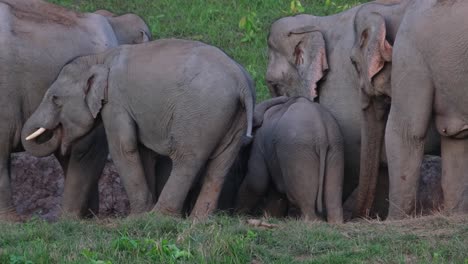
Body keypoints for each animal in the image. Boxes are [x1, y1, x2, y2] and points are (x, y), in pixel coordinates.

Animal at [21, 38, 256, 218]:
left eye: (55, 98)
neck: (99, 58)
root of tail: (241, 81)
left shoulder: (115, 100)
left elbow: (123, 147)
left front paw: (137, 216)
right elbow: (143, 151)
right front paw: (143, 209)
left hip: (201, 113)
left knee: (186, 159)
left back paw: (159, 217)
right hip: (235, 117)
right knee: (220, 165)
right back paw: (199, 221)